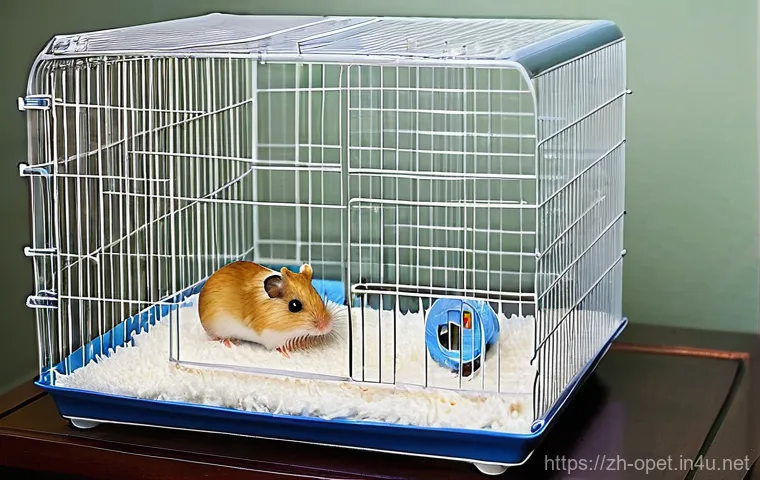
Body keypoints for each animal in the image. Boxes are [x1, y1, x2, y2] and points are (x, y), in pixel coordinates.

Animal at [197, 261, 335, 357]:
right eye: (294, 305)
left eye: (318, 295)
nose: (326, 327)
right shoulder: (271, 336)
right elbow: (280, 348)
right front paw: (287, 354)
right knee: (220, 338)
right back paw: (231, 343)